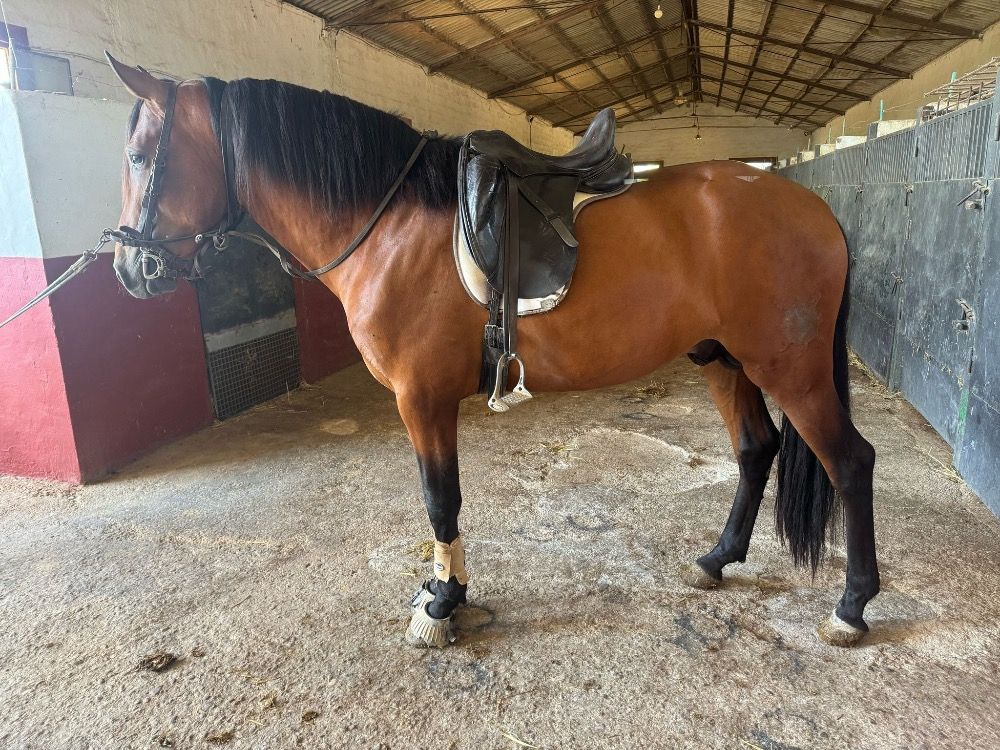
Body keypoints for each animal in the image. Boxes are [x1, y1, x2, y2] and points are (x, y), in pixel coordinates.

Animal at [104, 55, 879, 649]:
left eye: (140, 156)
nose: (129, 271)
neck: (390, 225)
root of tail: (815, 208)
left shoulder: (421, 397)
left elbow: (439, 499)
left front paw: (441, 604)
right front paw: (441, 589)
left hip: (790, 368)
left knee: (850, 461)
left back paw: (851, 607)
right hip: (723, 360)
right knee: (755, 450)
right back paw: (717, 560)